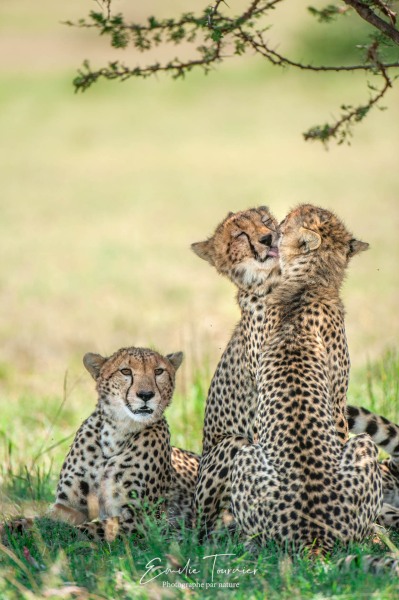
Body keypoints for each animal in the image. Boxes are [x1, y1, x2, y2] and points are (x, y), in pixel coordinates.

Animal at [52, 346, 199, 540]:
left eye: (158, 371)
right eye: (126, 371)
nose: (145, 395)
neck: (116, 432)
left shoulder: (141, 518)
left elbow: (80, 530)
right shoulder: (68, 506)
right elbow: (39, 522)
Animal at [231, 204, 384, 552]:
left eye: (288, 219)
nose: (276, 220)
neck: (309, 282)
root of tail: (312, 533)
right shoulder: (337, 400)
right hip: (362, 444)